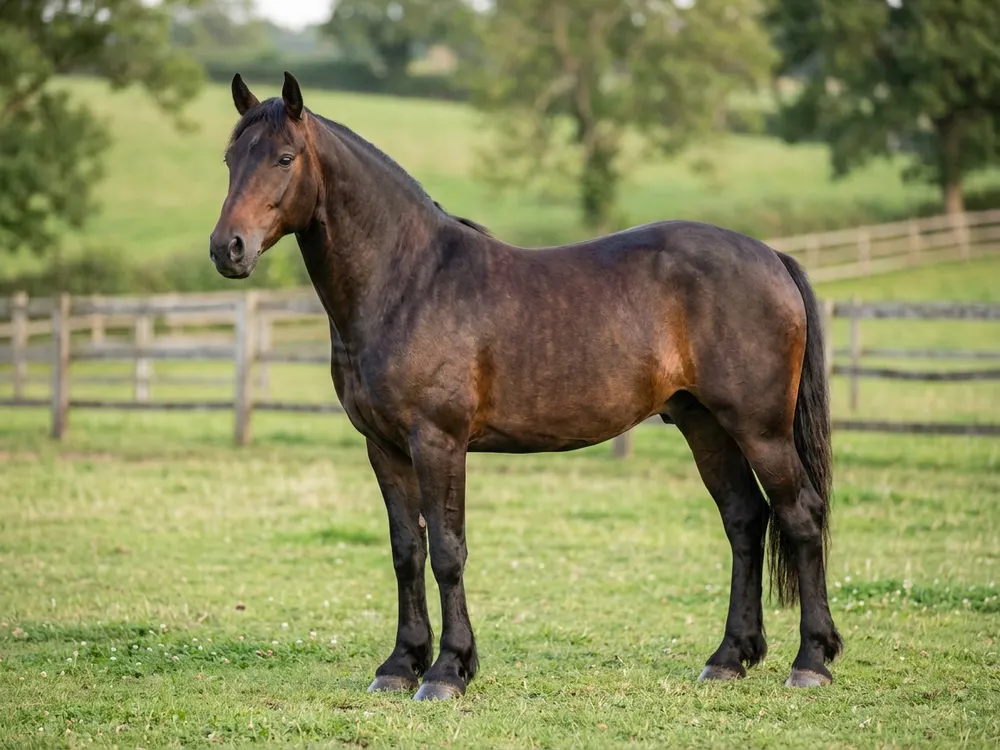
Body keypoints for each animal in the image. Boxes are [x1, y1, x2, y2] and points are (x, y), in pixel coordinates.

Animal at [208, 72, 842, 701]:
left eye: (284, 157)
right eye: (230, 159)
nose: (226, 248)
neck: (409, 281)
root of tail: (772, 256)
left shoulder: (438, 442)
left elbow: (447, 551)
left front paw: (447, 671)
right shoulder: (383, 447)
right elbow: (406, 551)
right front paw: (399, 665)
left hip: (760, 429)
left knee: (800, 515)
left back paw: (811, 660)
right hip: (704, 424)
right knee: (744, 519)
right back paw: (730, 656)